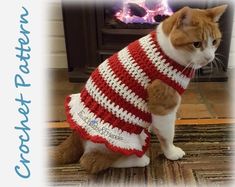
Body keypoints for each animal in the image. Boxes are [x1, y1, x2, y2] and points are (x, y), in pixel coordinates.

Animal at [49, 4, 228, 174]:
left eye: (214, 42)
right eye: (196, 44)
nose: (209, 58)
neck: (166, 51)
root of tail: (76, 134)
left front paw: (152, 129)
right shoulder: (164, 106)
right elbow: (167, 135)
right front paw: (170, 152)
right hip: (114, 141)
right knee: (91, 161)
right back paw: (138, 160)